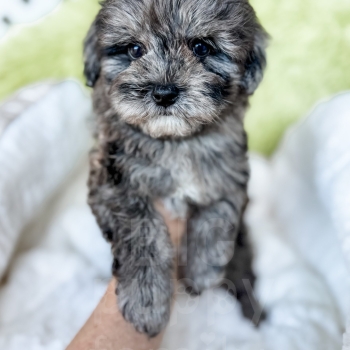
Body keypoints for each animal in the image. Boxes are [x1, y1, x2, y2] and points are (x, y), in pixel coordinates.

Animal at [84, 0, 268, 336]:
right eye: (134, 49)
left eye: (201, 47)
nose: (164, 93)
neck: (176, 141)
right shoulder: (110, 175)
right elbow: (141, 229)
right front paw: (147, 300)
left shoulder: (230, 170)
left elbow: (218, 213)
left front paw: (203, 268)